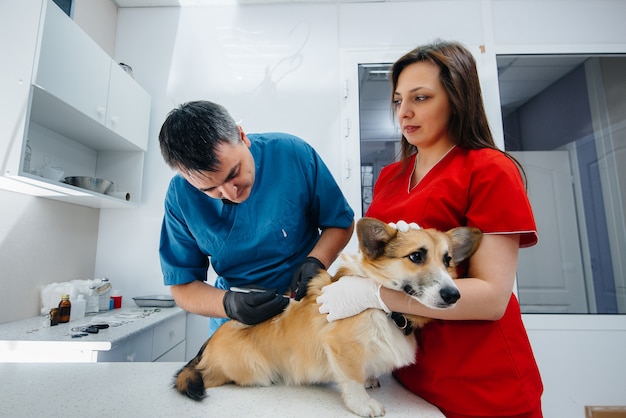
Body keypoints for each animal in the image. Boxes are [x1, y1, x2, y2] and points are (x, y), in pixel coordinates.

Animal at [173, 217, 480, 416]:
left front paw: (370, 378)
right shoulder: (340, 345)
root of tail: (207, 346)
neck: (386, 310)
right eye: (416, 256)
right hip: (253, 372)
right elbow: (352, 379)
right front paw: (364, 404)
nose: (454, 295)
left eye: (447, 260)